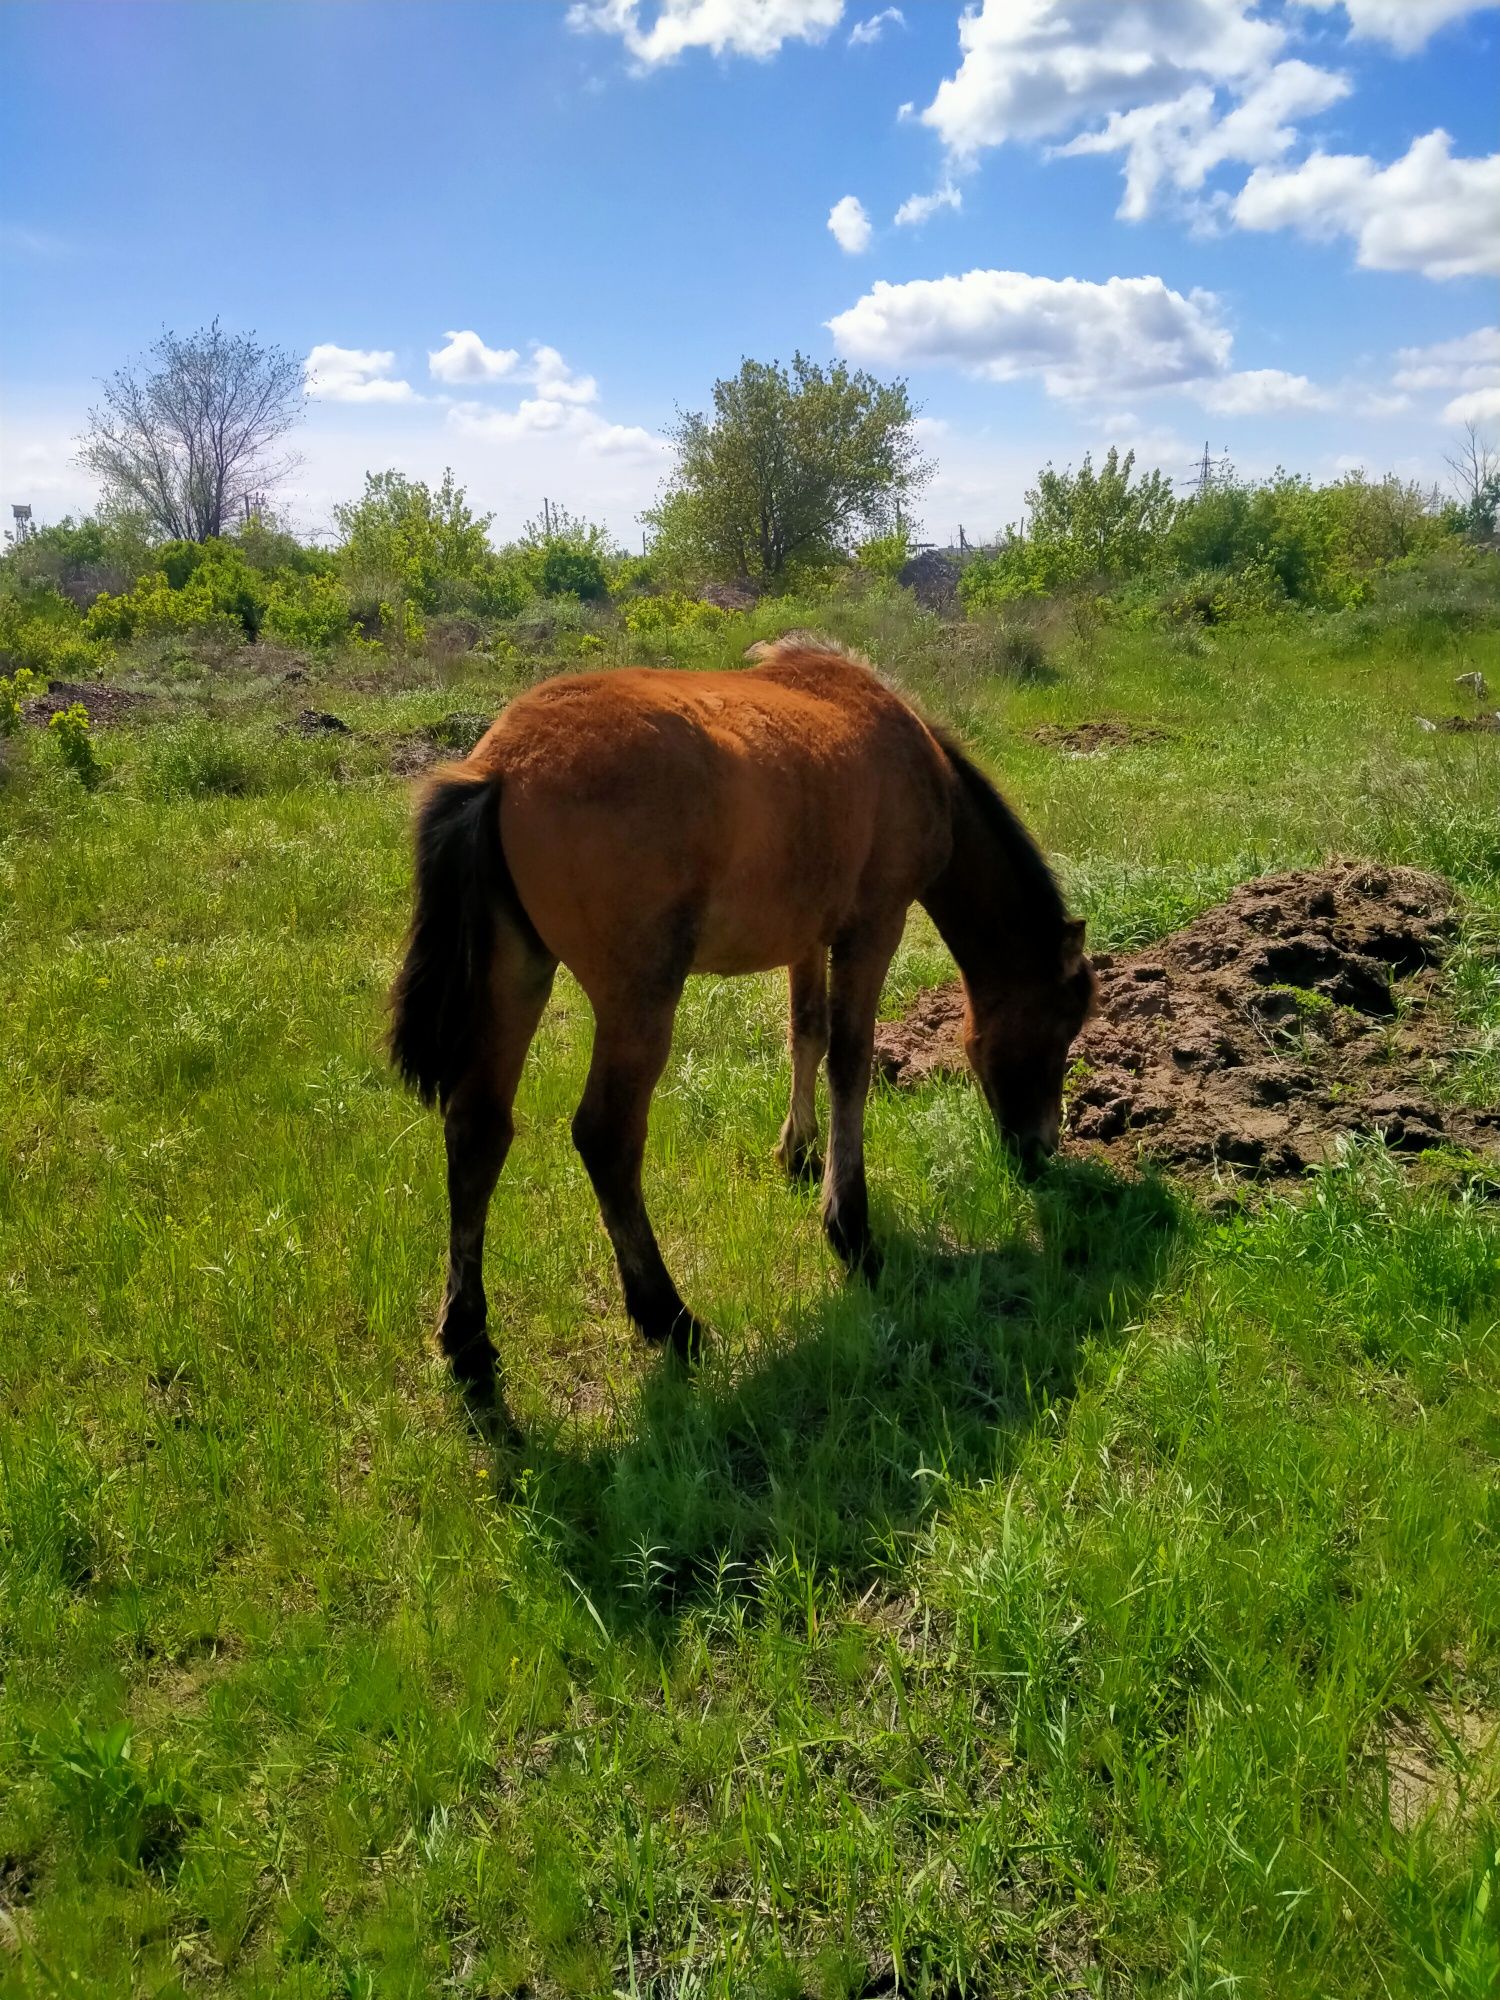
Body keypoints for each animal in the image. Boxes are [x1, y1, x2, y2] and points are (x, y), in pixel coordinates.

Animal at [388, 640, 1096, 1408]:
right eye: (1061, 1026)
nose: (1040, 1145)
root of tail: (500, 769)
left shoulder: (810, 934)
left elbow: (807, 1034)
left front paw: (799, 1153)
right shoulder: (873, 925)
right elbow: (851, 1062)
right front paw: (850, 1227)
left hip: (515, 974)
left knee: (477, 1131)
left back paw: (468, 1340)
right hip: (638, 995)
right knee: (606, 1137)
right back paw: (668, 1316)